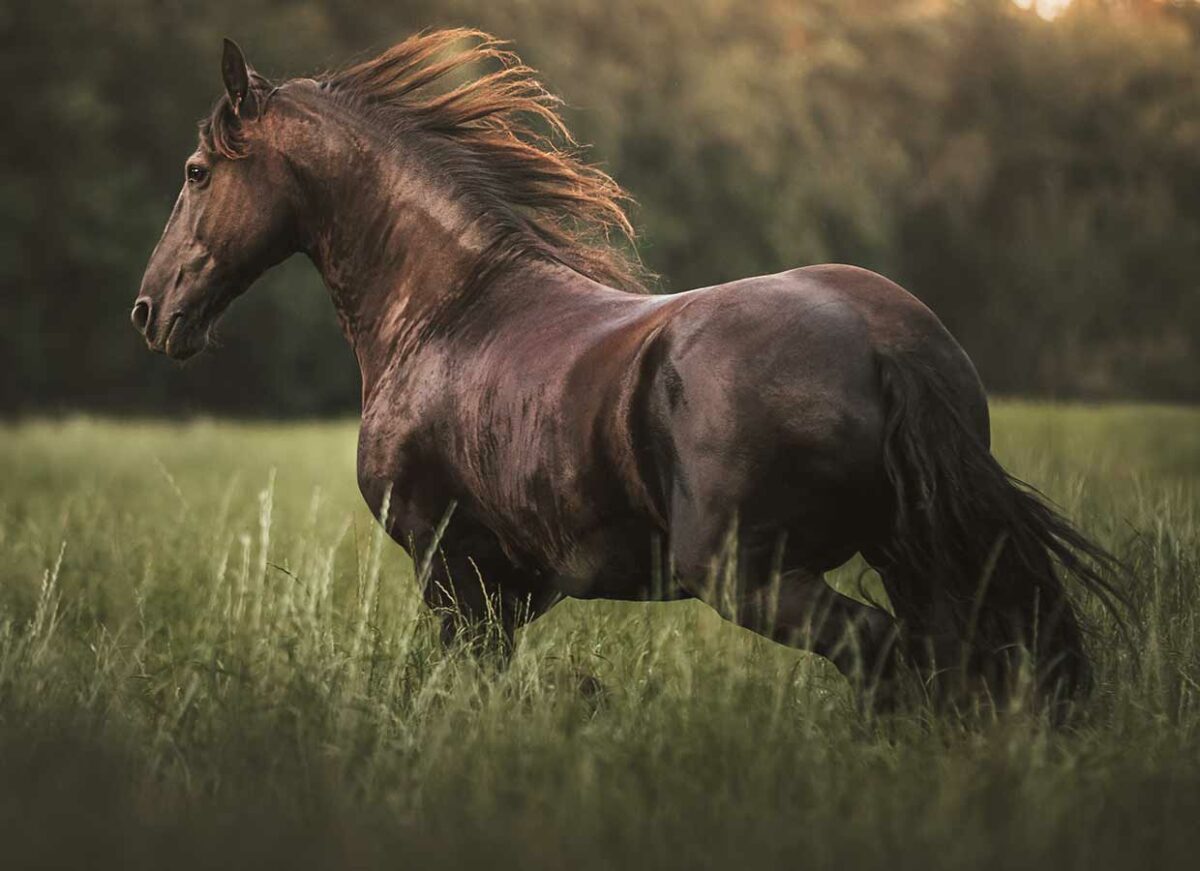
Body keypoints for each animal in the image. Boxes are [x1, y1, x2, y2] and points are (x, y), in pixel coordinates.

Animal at [129, 30, 1113, 715]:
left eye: (197, 170)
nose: (150, 311)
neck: (447, 309)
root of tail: (884, 339)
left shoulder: (447, 563)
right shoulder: (510, 586)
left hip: (753, 573)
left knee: (887, 657)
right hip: (914, 552)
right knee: (964, 663)